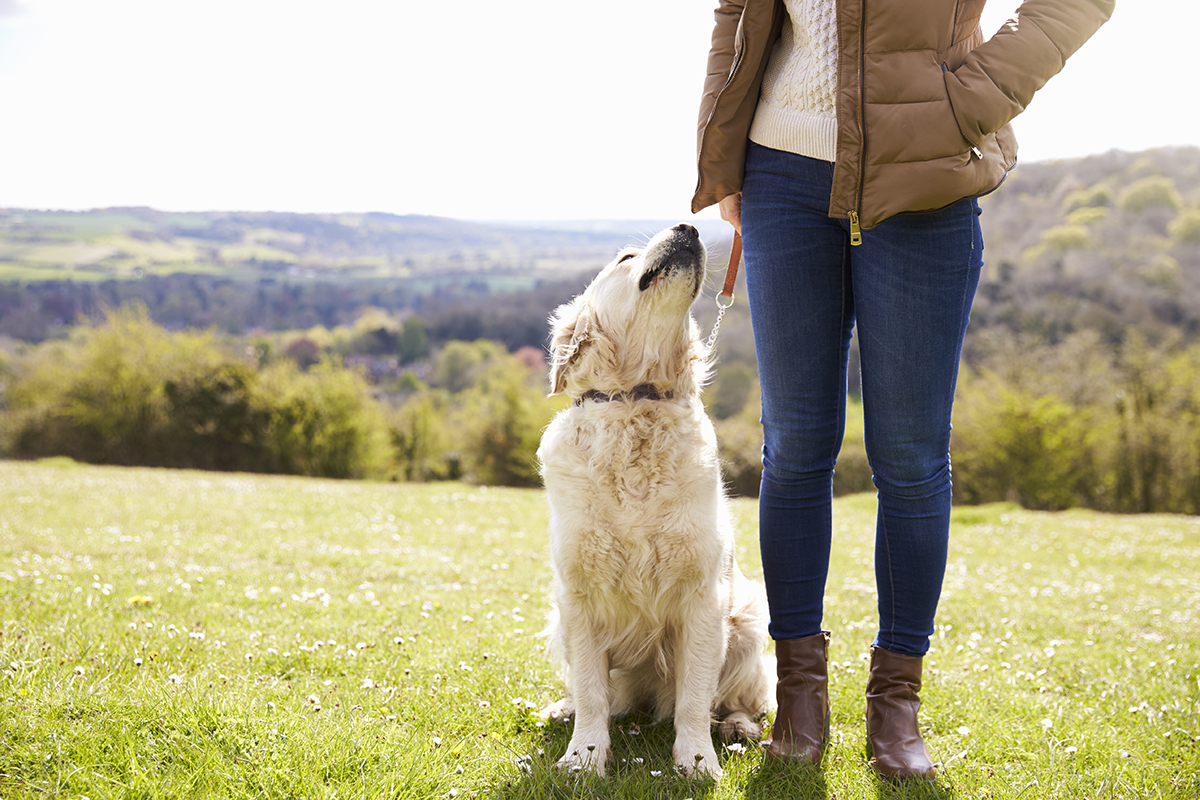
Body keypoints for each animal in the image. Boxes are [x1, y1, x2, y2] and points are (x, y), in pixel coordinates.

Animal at [540, 221, 772, 777]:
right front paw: (583, 757)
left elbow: (694, 697)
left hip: (750, 619)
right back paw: (565, 710)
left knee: (745, 698)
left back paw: (736, 726)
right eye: (625, 257)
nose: (689, 226)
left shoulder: (705, 596)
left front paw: (697, 761)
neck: (637, 403)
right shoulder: (577, 596)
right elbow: (592, 690)